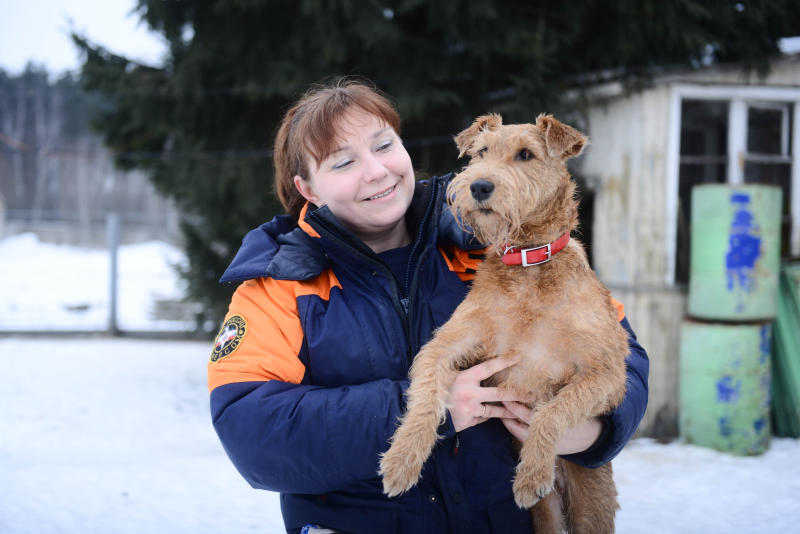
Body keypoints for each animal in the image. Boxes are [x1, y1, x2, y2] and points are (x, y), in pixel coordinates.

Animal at [380, 114, 632, 534]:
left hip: (592, 507)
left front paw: (531, 474)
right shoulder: (444, 345)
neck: (529, 265)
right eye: (482, 152)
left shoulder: (607, 374)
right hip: (545, 517)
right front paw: (402, 459)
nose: (479, 185)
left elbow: (552, 410)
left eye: (525, 154)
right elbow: (426, 395)